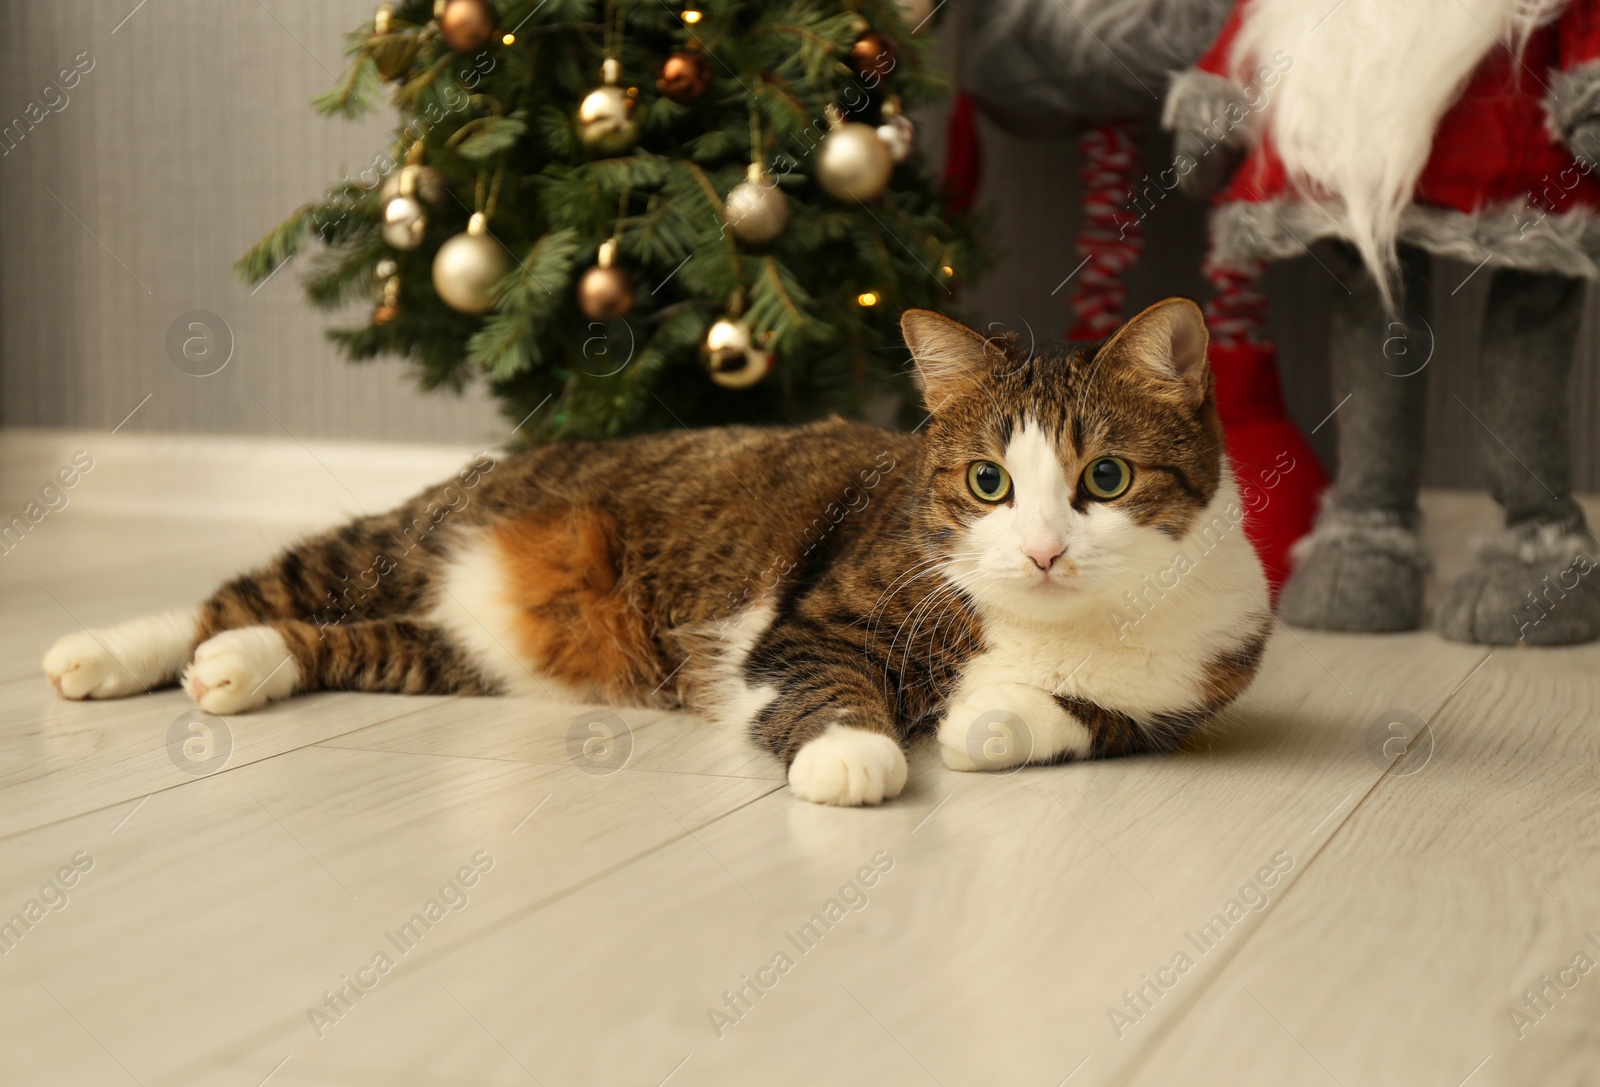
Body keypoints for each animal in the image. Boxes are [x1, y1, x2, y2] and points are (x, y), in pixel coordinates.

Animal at [40, 297, 1273, 806]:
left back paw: (244, 668)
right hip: (406, 535)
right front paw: (856, 755)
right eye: (987, 482)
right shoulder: (819, 612)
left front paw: (982, 719)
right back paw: (104, 654)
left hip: (472, 652)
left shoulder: (1192, 685)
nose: (1046, 551)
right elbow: (824, 682)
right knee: (243, 592)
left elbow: (1070, 718)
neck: (1058, 622)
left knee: (354, 638)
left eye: (1104, 479)